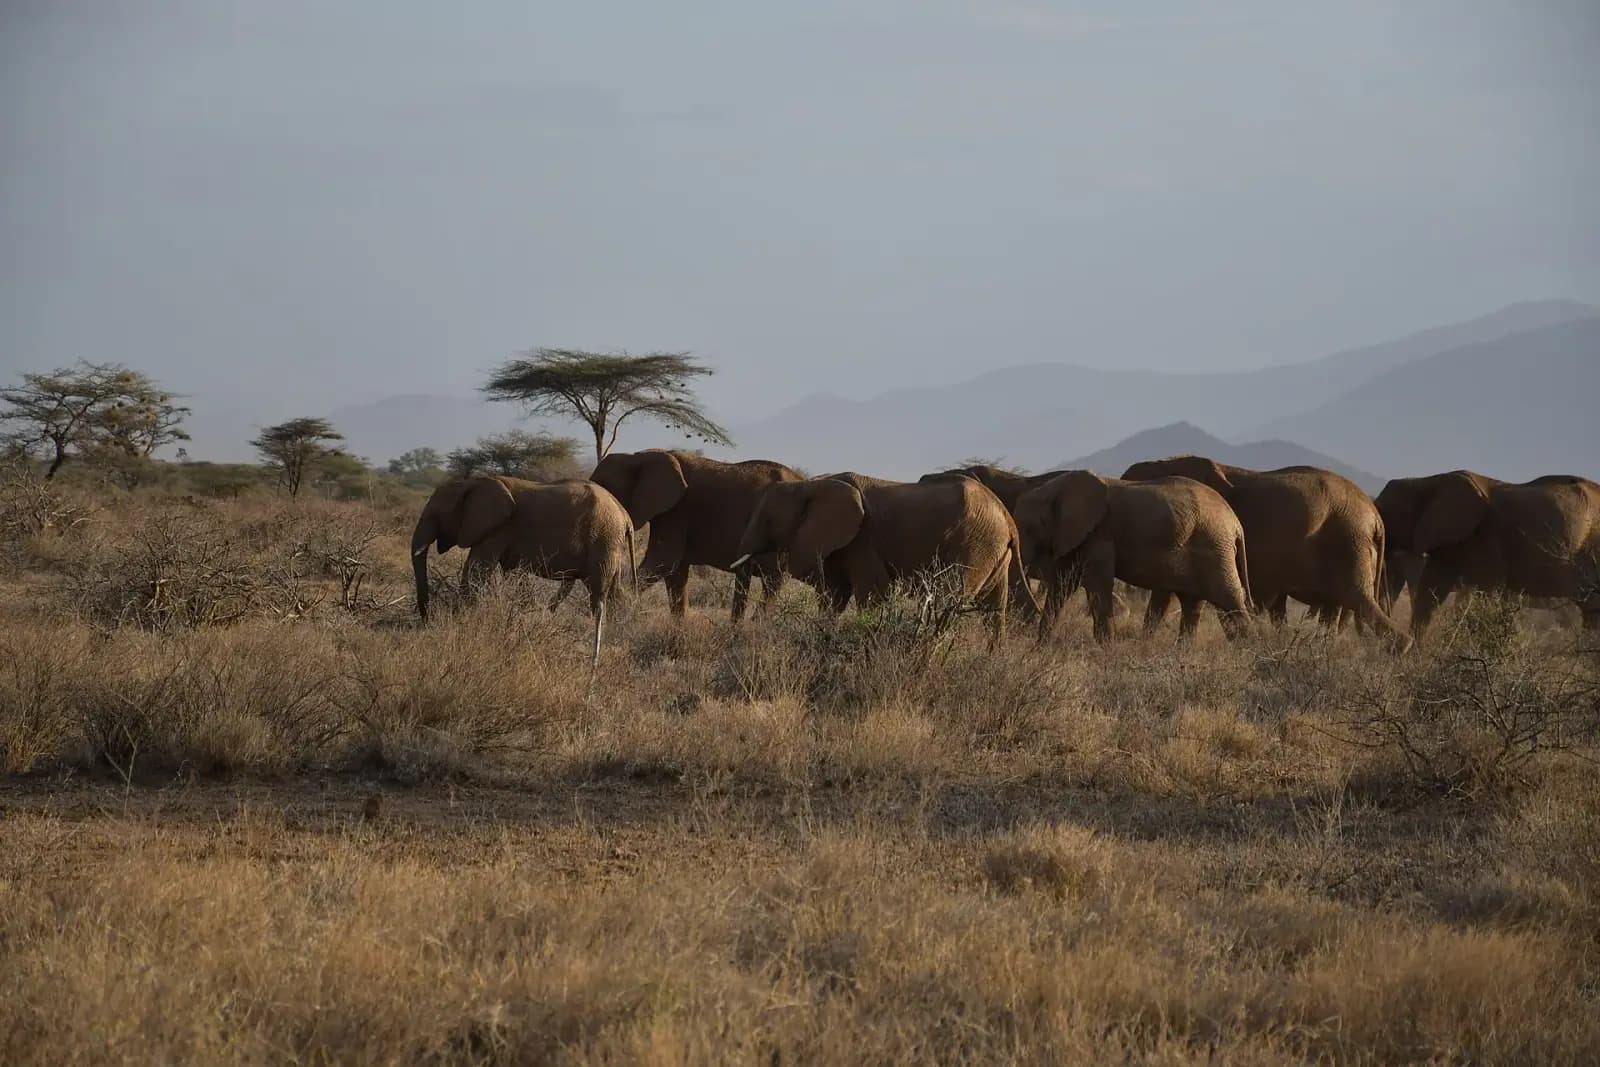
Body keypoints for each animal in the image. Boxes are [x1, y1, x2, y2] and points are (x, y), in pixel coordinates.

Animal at [410, 475, 635, 675]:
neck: (471, 483)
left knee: (598, 594)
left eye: (435, 516)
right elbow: (513, 575)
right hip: (610, 544)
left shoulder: (497, 530)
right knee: (614, 591)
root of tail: (625, 516)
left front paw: (458, 620)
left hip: (603, 540)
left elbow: (477, 569)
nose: (426, 621)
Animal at [590, 449, 802, 620]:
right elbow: (675, 572)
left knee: (771, 582)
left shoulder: (678, 511)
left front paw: (619, 610)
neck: (638, 457)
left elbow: (664, 562)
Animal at [731, 473, 1037, 642]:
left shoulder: (863, 540)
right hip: (992, 553)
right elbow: (834, 597)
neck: (810, 485)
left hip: (973, 547)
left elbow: (872, 594)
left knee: (948, 605)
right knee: (994, 611)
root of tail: (1008, 519)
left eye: (768, 520)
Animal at [1014, 471, 1253, 642]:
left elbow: (1097, 584)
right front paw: (1041, 647)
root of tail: (1236, 523)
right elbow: (1062, 585)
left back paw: (1250, 651)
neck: (1055, 488)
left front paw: (1106, 649)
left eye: (1027, 529)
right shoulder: (1073, 536)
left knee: (1228, 597)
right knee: (1190, 603)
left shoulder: (1100, 533)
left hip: (1215, 546)